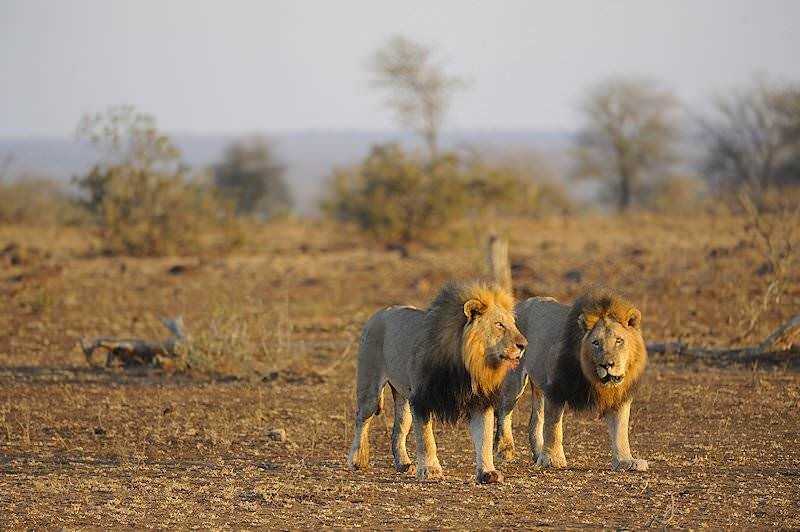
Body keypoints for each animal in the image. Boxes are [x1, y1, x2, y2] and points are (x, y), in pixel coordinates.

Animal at [346, 280, 528, 484]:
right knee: (361, 419)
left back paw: (404, 464)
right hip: (370, 388)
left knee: (398, 429)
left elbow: (485, 438)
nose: (524, 345)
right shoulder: (421, 399)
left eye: (513, 325)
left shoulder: (480, 401)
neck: (468, 365)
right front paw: (431, 470)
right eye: (499, 325)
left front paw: (488, 472)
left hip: (403, 398)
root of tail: (380, 312)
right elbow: (426, 439)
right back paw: (357, 460)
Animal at [494, 288, 648, 472]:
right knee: (504, 413)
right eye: (596, 343)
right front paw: (552, 459)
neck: (594, 378)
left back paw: (538, 453)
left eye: (619, 341)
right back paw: (505, 451)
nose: (607, 365)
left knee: (534, 421)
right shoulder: (556, 388)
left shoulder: (619, 395)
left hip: (540, 385)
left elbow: (621, 429)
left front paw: (626, 461)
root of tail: (520, 304)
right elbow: (553, 427)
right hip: (515, 380)